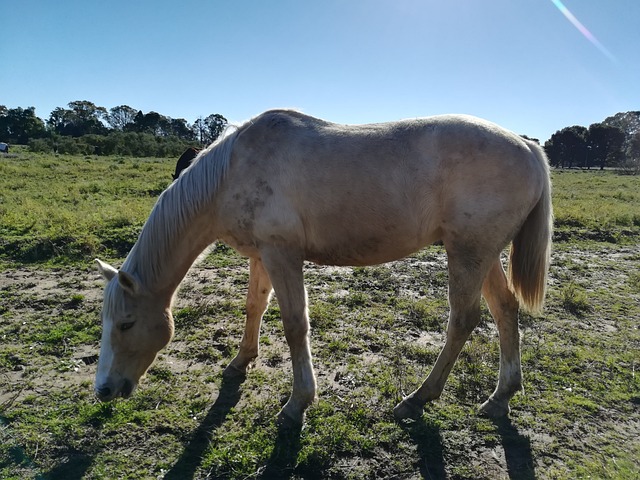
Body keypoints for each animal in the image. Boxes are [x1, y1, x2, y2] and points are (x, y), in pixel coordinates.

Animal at [94, 110, 552, 426]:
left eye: (126, 324)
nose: (104, 390)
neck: (232, 172)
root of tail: (529, 146)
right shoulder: (262, 255)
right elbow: (254, 307)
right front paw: (241, 361)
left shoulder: (283, 255)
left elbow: (295, 325)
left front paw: (297, 403)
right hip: (482, 253)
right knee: (504, 309)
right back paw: (500, 396)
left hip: (467, 253)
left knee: (463, 320)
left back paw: (418, 398)